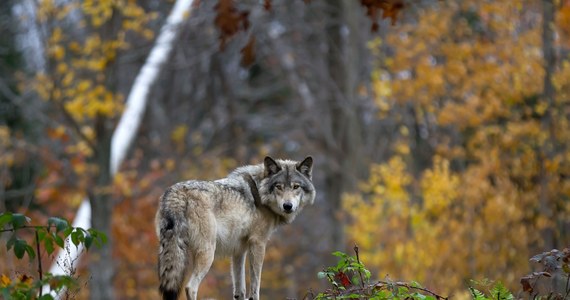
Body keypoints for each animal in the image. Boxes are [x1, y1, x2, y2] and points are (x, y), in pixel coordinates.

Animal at [155, 156, 316, 300]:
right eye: (279, 187)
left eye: (296, 186)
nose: (288, 206)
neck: (259, 192)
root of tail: (176, 193)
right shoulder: (258, 243)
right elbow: (255, 285)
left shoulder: (238, 250)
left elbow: (240, 290)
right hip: (208, 252)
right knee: (190, 287)